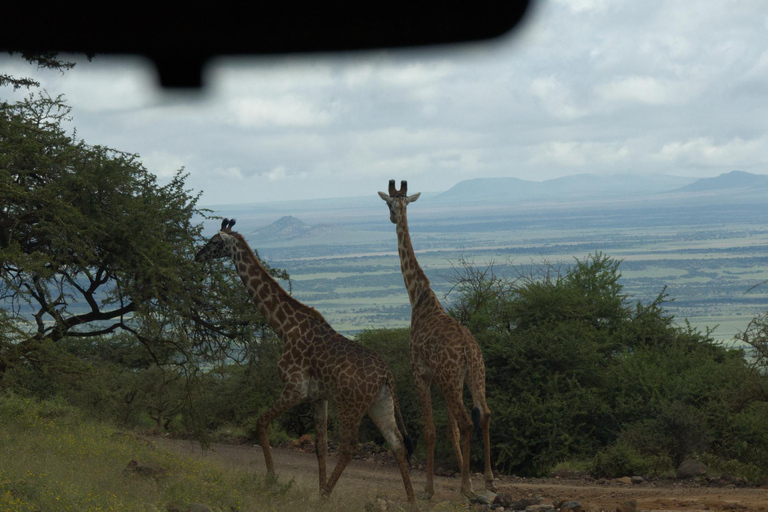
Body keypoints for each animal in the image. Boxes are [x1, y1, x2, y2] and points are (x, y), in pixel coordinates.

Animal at [195, 218, 416, 506]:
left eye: (213, 241)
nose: (197, 256)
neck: (285, 328)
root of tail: (386, 375)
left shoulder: (295, 388)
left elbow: (261, 423)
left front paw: (273, 481)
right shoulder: (317, 396)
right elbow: (320, 447)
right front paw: (314, 487)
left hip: (350, 403)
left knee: (350, 446)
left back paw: (327, 494)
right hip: (380, 403)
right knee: (397, 443)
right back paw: (412, 501)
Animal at [380, 179, 498, 496]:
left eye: (390, 204)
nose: (392, 217)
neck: (418, 297)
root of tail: (469, 349)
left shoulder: (420, 373)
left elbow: (431, 429)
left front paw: (429, 488)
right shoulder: (440, 379)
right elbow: (449, 429)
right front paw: (462, 472)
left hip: (451, 378)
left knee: (467, 422)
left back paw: (467, 487)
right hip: (474, 375)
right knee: (485, 414)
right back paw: (489, 479)